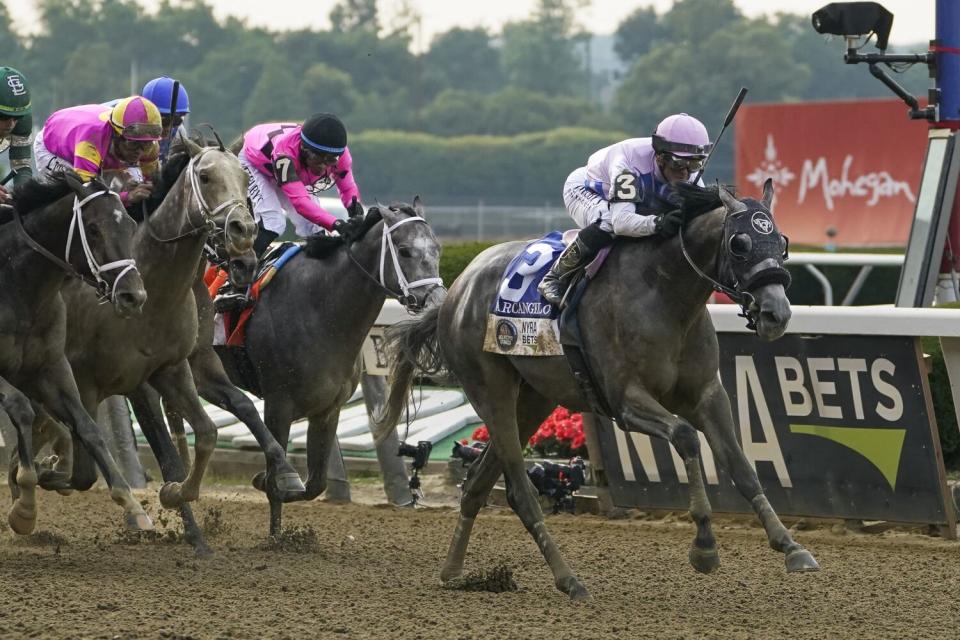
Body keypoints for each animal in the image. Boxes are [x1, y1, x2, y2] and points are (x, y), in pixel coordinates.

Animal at [0, 171, 151, 536]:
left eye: (129, 224)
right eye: (93, 229)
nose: (133, 296)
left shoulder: (50, 368)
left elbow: (87, 427)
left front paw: (133, 504)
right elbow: (21, 410)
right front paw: (24, 508)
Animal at [216, 201, 444, 536]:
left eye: (437, 249)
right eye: (404, 251)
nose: (437, 302)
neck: (319, 307)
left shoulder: (327, 409)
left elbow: (315, 484)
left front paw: (265, 481)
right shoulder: (278, 405)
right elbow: (276, 480)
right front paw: (274, 536)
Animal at [376, 180, 816, 600]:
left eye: (782, 242)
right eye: (739, 244)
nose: (777, 314)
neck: (664, 292)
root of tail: (456, 291)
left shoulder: (707, 395)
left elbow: (742, 467)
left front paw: (791, 547)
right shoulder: (626, 401)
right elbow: (687, 438)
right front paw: (705, 547)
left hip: (534, 399)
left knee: (477, 485)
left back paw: (453, 571)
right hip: (491, 391)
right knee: (521, 492)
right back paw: (568, 580)